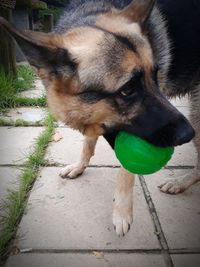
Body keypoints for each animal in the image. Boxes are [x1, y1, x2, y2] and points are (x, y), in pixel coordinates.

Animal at [0, 0, 199, 237]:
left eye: (155, 77)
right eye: (127, 90)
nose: (188, 134)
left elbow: (126, 169)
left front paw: (121, 212)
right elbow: (88, 144)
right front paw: (79, 166)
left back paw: (181, 182)